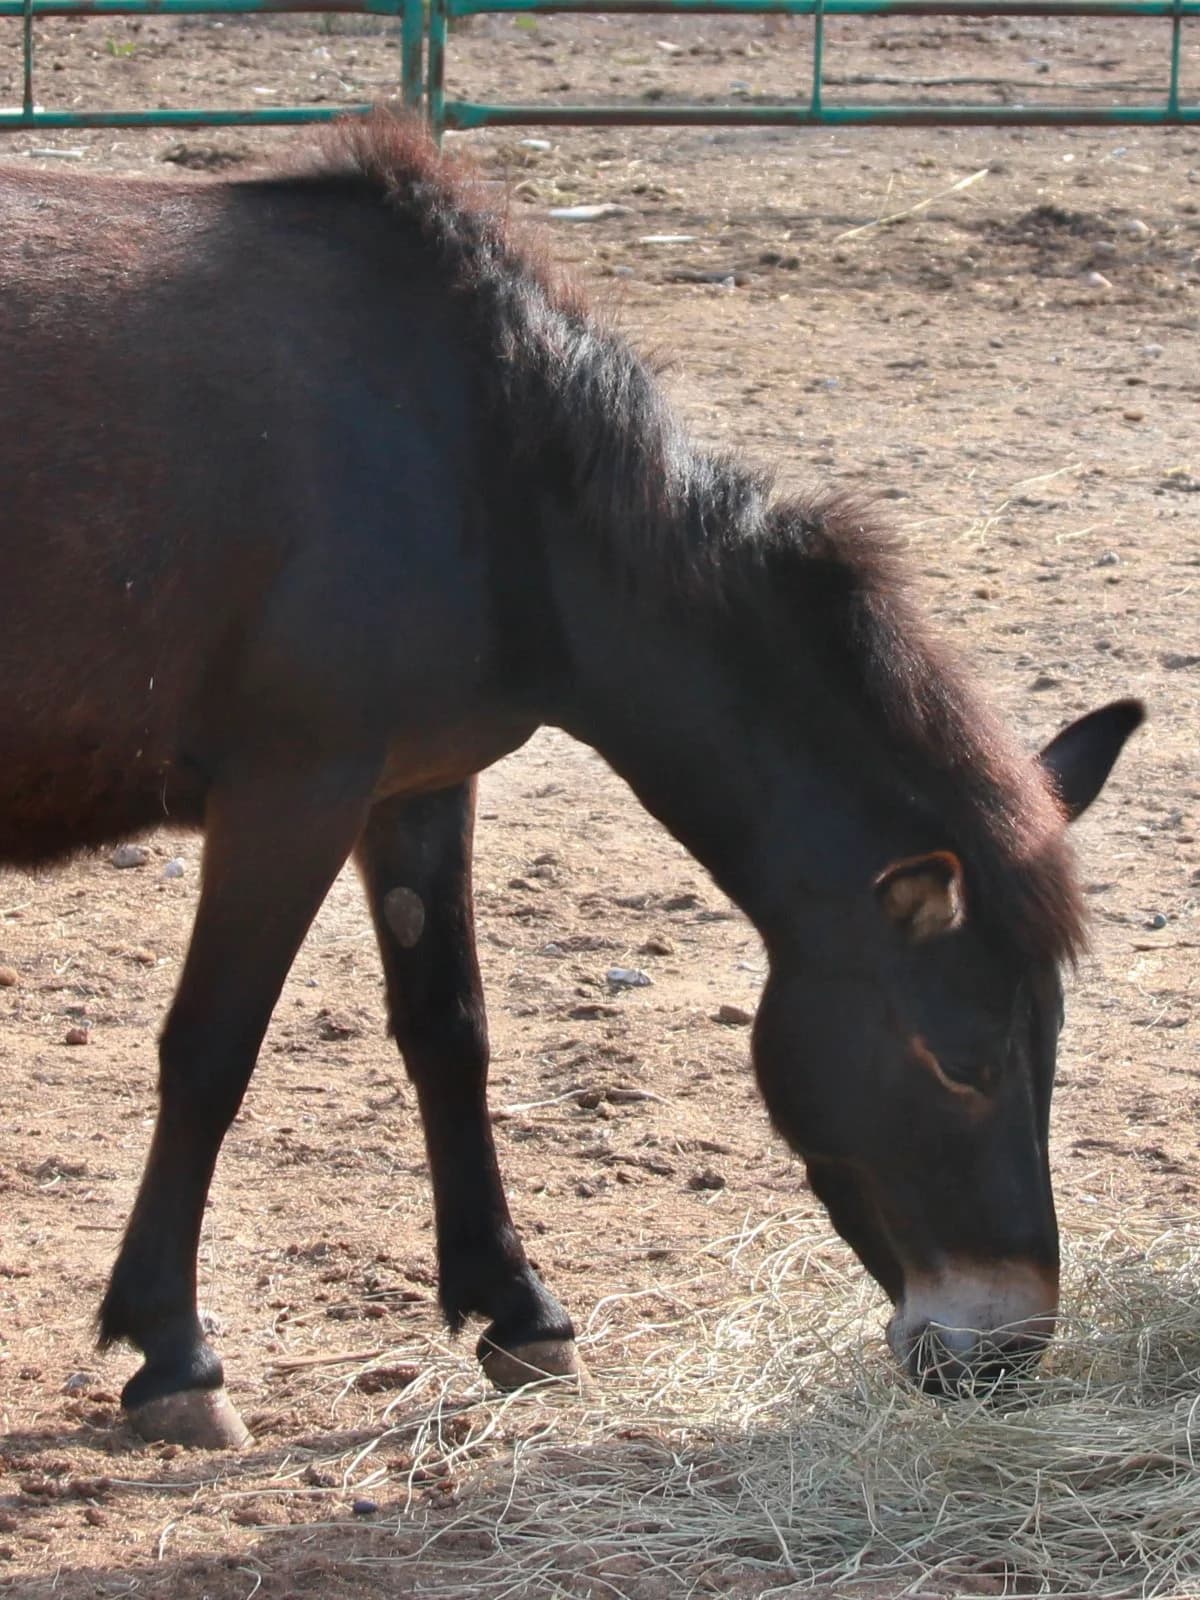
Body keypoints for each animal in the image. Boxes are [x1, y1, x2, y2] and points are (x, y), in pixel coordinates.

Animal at [0, 112, 1141, 1449]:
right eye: (962, 1061)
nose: (1003, 1354)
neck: (480, 459)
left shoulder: (414, 785)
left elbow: (448, 1030)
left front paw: (518, 1308)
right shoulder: (292, 791)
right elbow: (212, 1051)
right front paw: (175, 1356)